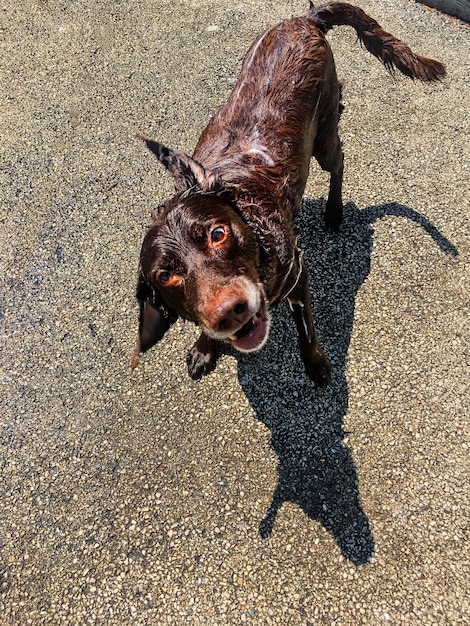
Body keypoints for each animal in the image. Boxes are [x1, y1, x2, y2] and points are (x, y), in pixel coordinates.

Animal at [131, 3, 444, 386]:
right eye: (166, 276)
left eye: (218, 234)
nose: (230, 311)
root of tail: (305, 19)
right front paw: (205, 348)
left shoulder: (297, 272)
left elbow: (306, 331)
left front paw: (316, 365)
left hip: (324, 138)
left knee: (339, 160)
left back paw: (334, 212)